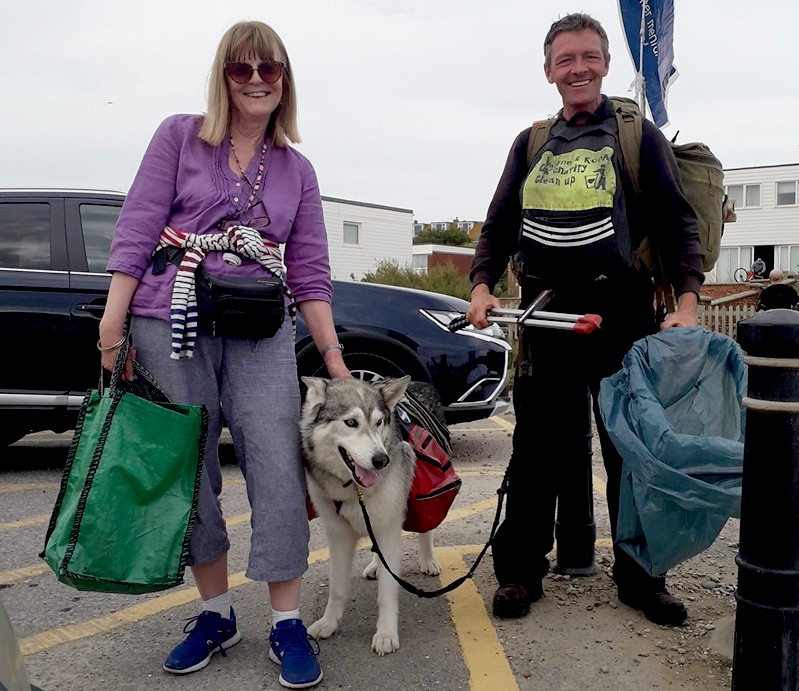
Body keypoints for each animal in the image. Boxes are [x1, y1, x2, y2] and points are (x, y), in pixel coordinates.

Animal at [300, 376, 440, 656]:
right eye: (351, 422)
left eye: (379, 422)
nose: (381, 460)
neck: (353, 489)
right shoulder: (338, 535)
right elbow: (337, 588)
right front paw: (329, 623)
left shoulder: (388, 527)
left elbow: (386, 592)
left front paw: (386, 634)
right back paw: (376, 565)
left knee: (426, 529)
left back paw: (428, 559)